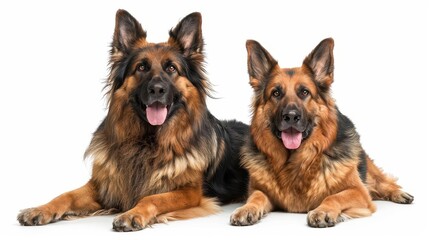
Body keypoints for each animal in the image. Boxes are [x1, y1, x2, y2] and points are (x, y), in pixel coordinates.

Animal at [17, 9, 247, 232]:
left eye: (171, 68)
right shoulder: (104, 185)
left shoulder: (190, 192)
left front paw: (133, 214)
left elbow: (151, 197)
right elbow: (66, 195)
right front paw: (40, 209)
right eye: (141, 67)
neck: (147, 141)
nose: (157, 90)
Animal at [229, 38, 412, 228]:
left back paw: (399, 193)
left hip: (370, 170)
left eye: (304, 92)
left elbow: (334, 197)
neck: (295, 163)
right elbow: (256, 196)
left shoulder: (358, 191)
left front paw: (323, 211)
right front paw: (246, 209)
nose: (291, 116)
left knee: (383, 182)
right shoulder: (260, 190)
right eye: (276, 93)